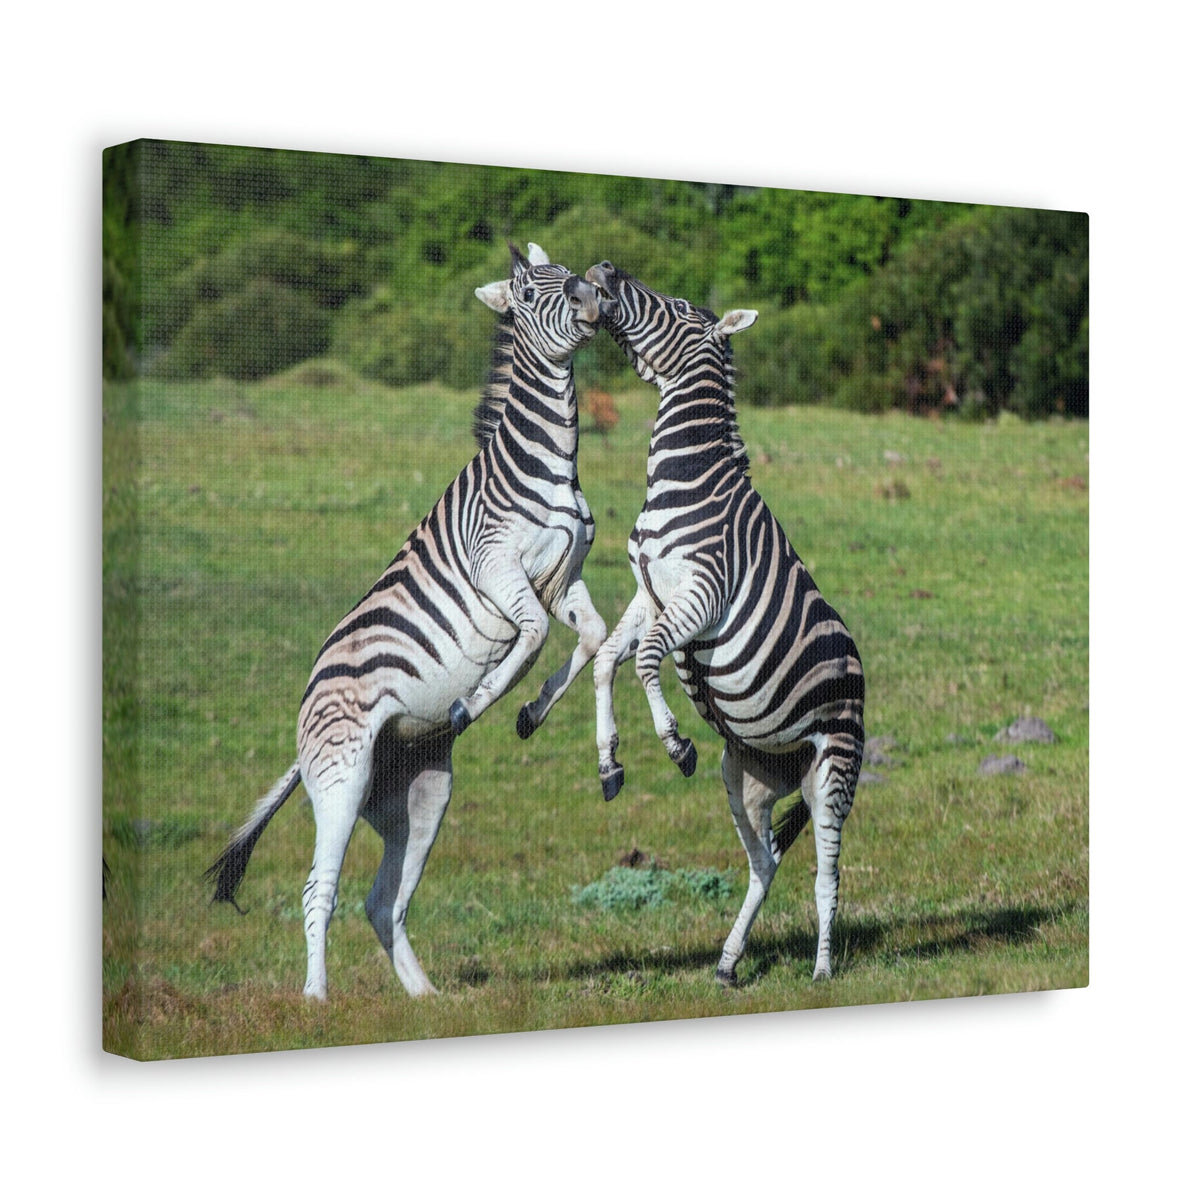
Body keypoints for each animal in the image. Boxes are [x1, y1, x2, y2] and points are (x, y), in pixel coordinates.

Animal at [206, 243, 607, 1000]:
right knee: (319, 890)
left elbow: (590, 638)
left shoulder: (561, 579)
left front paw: (531, 714)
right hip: (342, 779)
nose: (593, 294)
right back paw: (315, 1000)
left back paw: (424, 997)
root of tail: (305, 716)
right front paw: (481, 698)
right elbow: (534, 637)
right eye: (531, 293)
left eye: (567, 273)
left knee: (382, 899)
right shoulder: (500, 571)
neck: (549, 464)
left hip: (418, 794)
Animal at [586, 261, 865, 984]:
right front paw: (609, 762)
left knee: (827, 873)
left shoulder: (702, 596)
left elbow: (647, 658)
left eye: (681, 306)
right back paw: (728, 962)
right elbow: (607, 660)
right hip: (747, 776)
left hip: (835, 766)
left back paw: (822, 971)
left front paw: (673, 741)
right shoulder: (649, 592)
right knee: (765, 861)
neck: (683, 475)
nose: (603, 270)